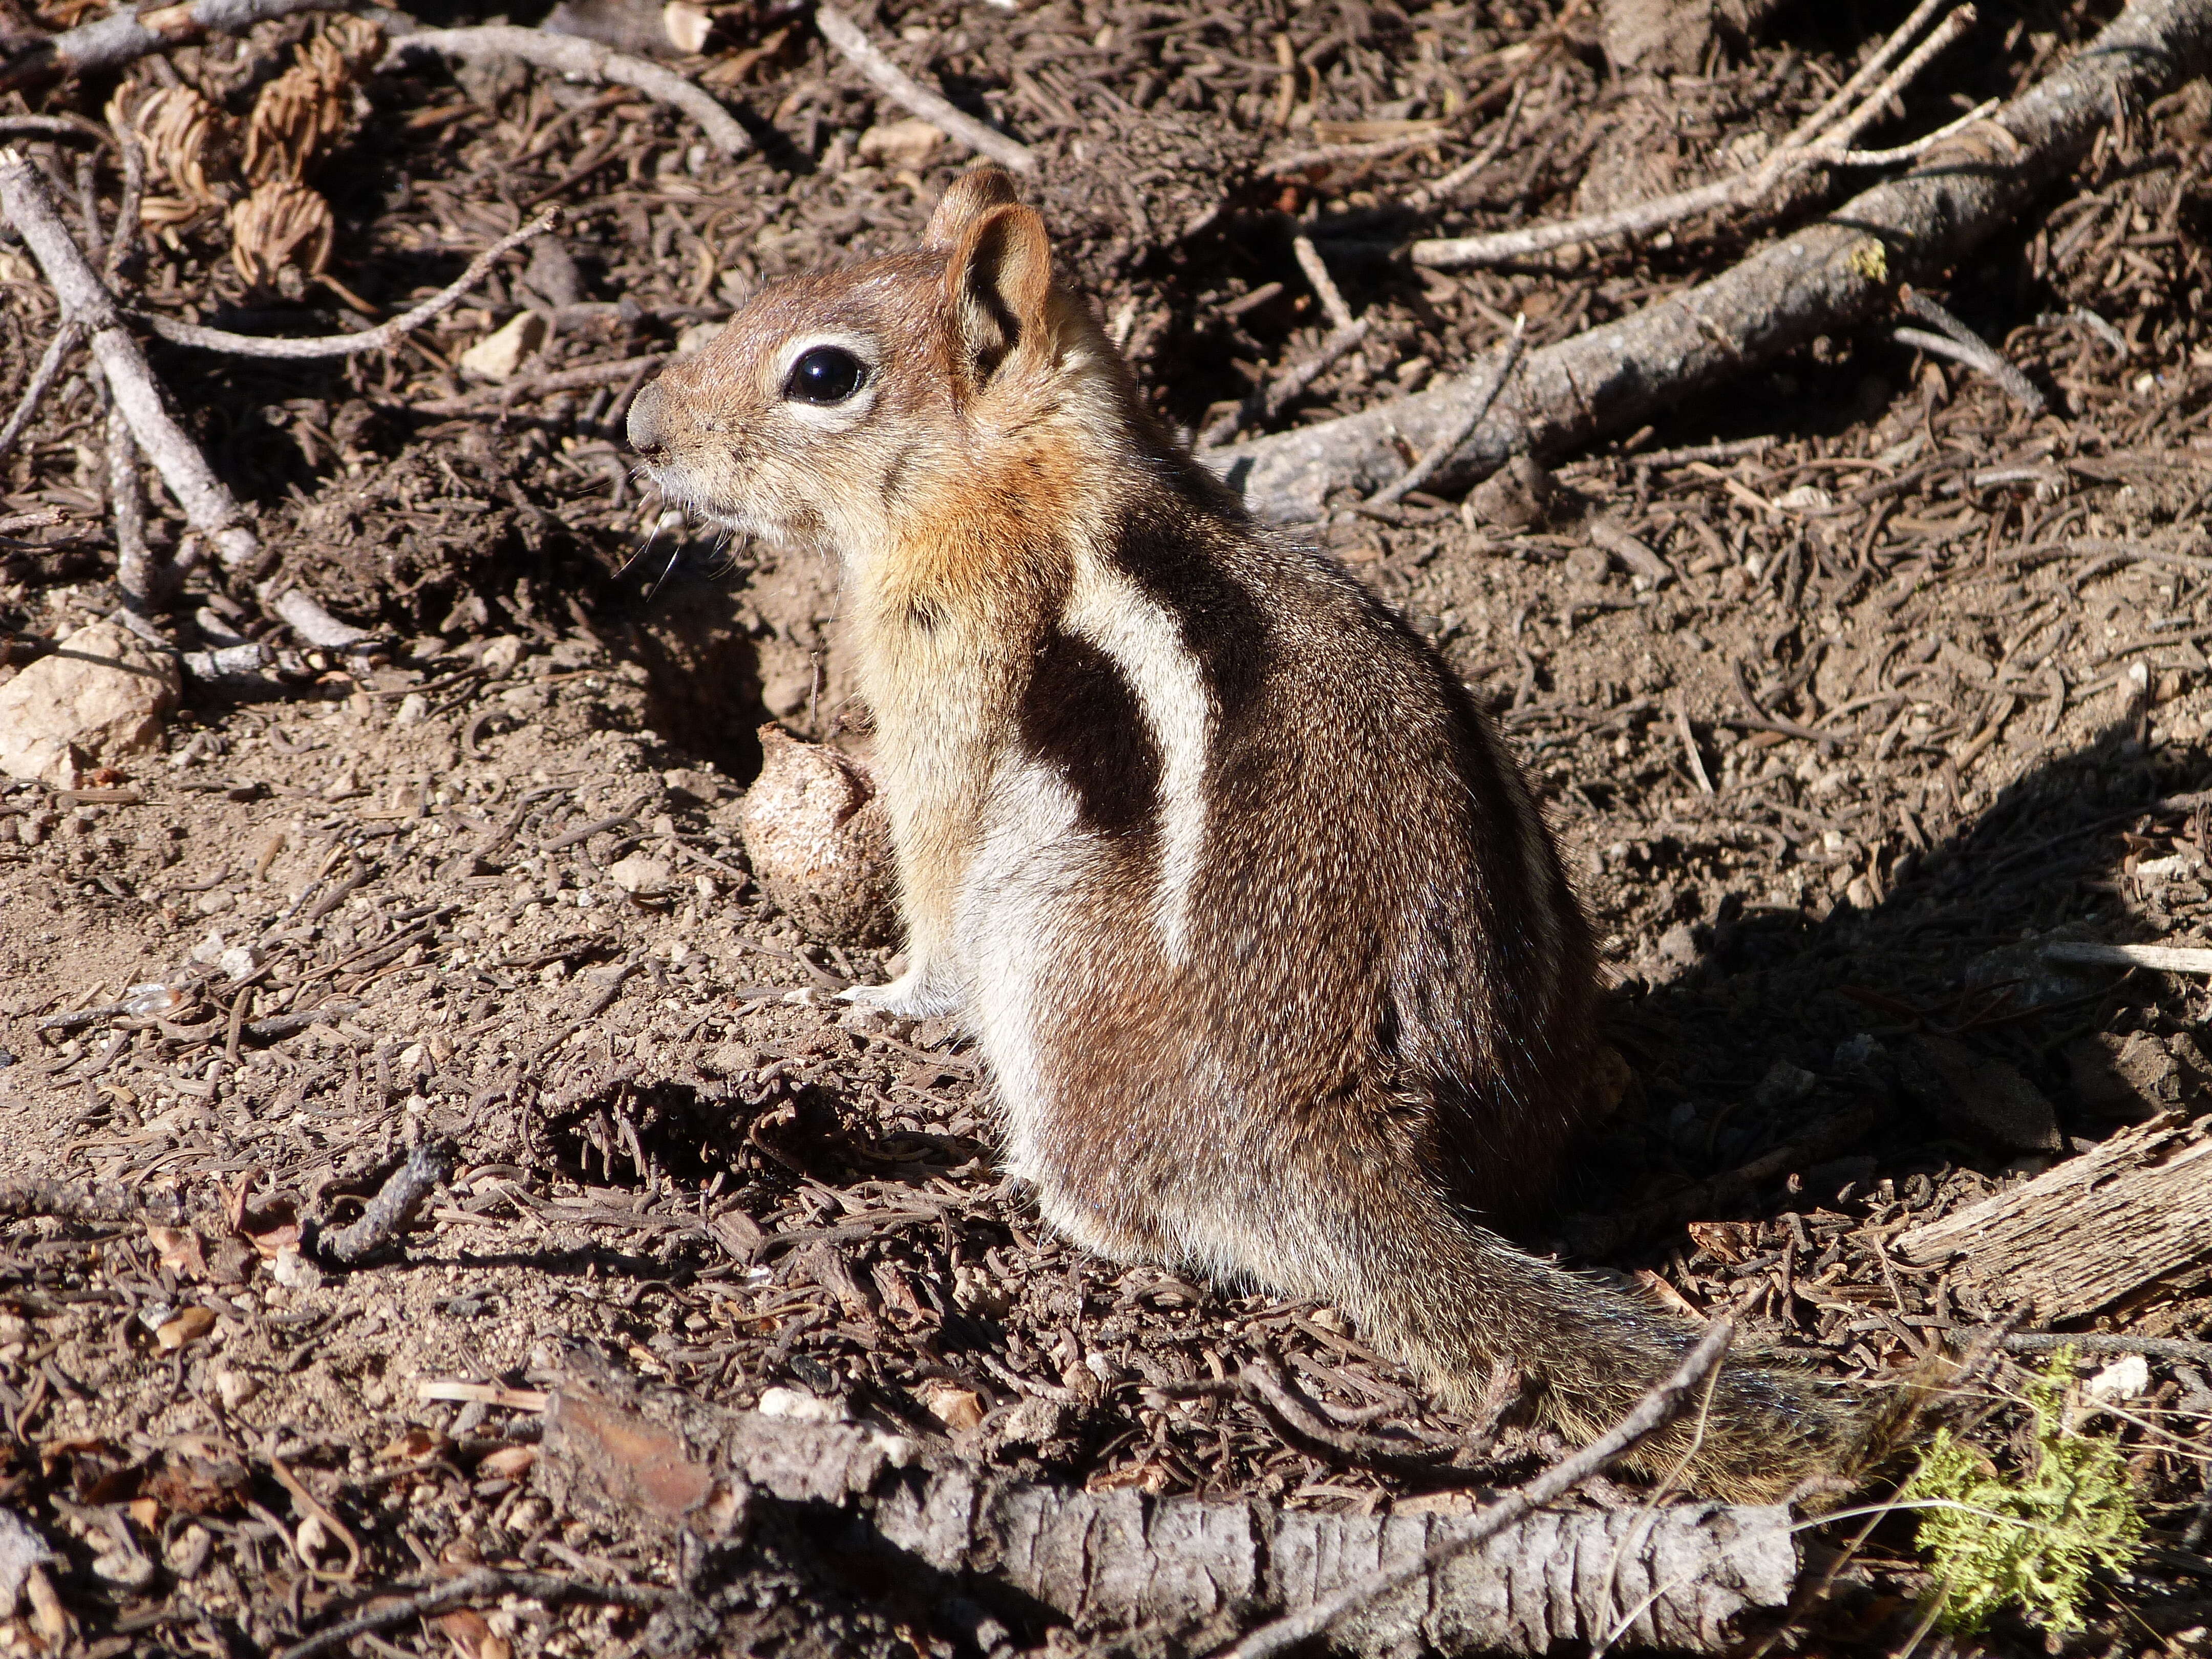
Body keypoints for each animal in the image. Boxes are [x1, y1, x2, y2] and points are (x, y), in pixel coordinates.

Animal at [632, 169, 1858, 1504]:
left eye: (822, 373)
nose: (639, 428)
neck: (1030, 477)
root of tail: (1337, 1130)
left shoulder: (947, 690)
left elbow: (934, 895)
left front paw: (879, 997)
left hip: (1046, 944)